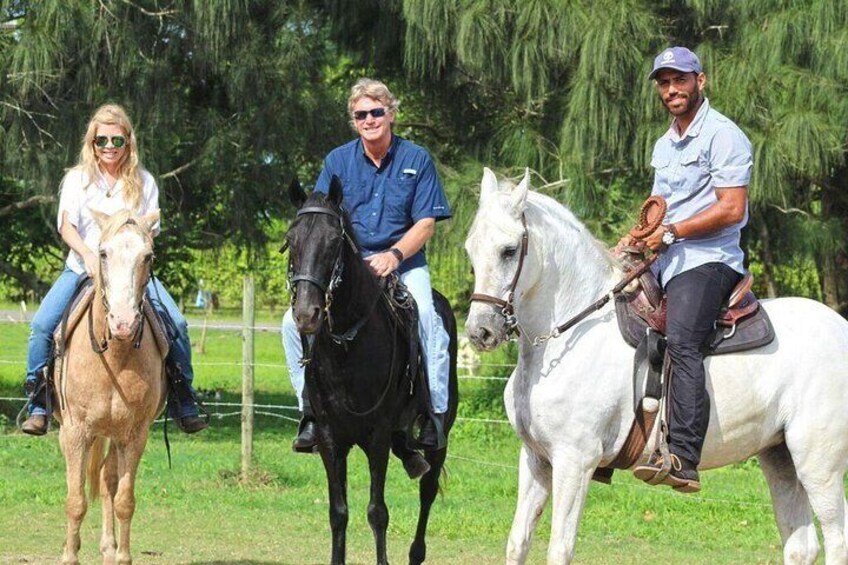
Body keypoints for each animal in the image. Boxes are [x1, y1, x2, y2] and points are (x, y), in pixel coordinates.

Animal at [54, 210, 166, 564]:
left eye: (148, 256)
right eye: (103, 253)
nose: (124, 323)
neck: (115, 356)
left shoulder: (135, 434)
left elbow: (124, 500)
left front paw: (121, 556)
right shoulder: (75, 432)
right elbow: (75, 500)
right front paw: (69, 556)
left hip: (114, 436)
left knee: (107, 480)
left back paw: (107, 546)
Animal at [284, 177, 458, 564]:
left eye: (334, 241)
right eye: (291, 240)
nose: (306, 314)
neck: (346, 345)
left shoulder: (376, 437)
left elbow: (377, 512)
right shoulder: (330, 438)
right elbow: (338, 513)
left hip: (437, 437)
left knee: (427, 491)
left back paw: (416, 553)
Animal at [468, 167, 848, 564]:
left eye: (509, 250)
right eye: (470, 248)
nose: (481, 331)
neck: (570, 334)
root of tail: (840, 327)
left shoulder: (575, 460)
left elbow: (560, 548)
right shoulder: (536, 459)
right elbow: (518, 541)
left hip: (818, 462)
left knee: (837, 538)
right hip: (780, 457)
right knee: (802, 546)